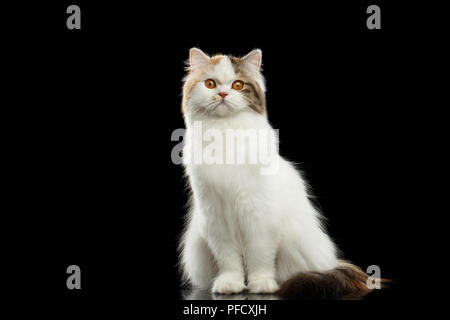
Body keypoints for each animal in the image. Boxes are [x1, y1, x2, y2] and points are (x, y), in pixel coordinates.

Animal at [179, 48, 372, 300]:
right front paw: (231, 285)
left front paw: (261, 285)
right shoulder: (216, 218)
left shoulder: (259, 215)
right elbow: (229, 260)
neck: (225, 132)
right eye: (210, 84)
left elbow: (259, 256)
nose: (222, 93)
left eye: (238, 85)